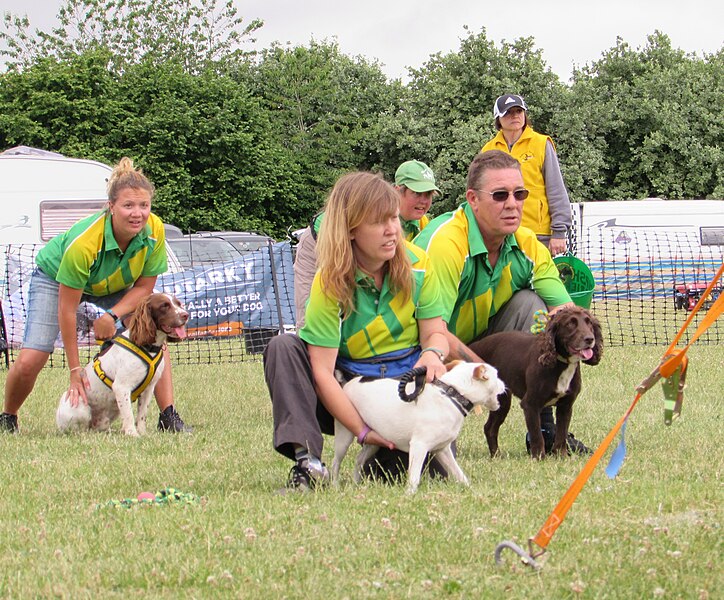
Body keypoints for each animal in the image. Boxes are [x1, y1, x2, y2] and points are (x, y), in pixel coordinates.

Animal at [56, 292, 188, 436]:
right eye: (164, 306)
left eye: (179, 304)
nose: (186, 315)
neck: (146, 346)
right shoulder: (121, 387)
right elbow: (129, 414)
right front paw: (132, 434)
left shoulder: (149, 389)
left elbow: (142, 415)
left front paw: (142, 433)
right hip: (81, 410)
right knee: (80, 429)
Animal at [466, 308, 604, 458]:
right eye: (570, 324)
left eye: (589, 322)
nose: (590, 339)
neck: (561, 363)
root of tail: (473, 346)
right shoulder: (530, 404)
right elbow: (537, 435)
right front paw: (539, 457)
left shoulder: (566, 406)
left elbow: (561, 435)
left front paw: (560, 456)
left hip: (502, 400)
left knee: (489, 428)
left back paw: (496, 456)